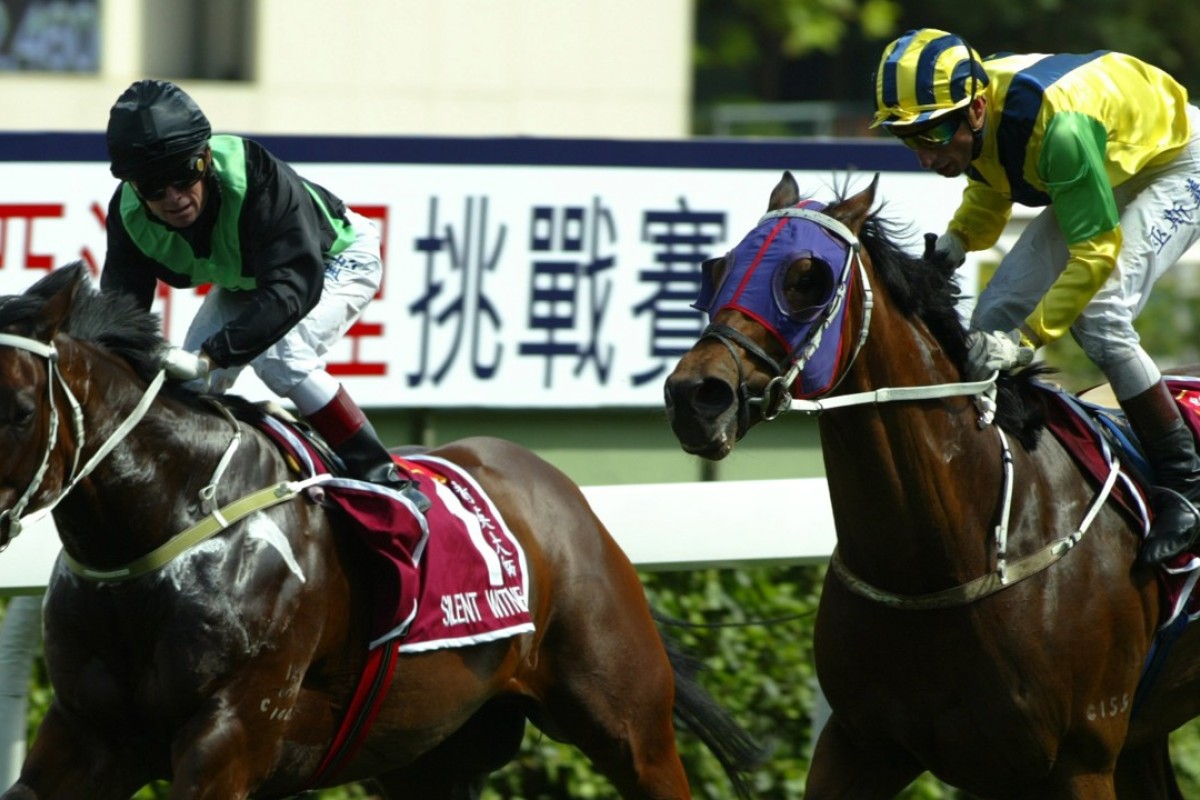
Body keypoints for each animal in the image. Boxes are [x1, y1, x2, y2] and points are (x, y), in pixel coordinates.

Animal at [0, 263, 758, 800]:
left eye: (16, 408)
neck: (174, 521)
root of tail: (568, 498)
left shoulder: (228, 737)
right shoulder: (85, 735)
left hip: (627, 720)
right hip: (427, 753)